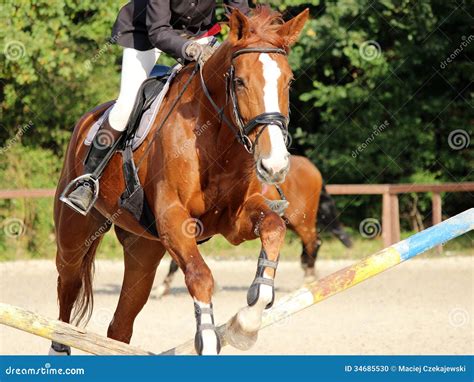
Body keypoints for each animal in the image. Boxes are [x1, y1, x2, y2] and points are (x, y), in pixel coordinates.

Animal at [52, 6, 312, 356]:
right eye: (240, 81)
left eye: (289, 81)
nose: (275, 165)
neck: (214, 140)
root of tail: (87, 119)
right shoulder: (173, 218)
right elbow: (200, 276)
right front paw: (209, 337)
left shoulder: (235, 220)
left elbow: (274, 228)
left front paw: (247, 322)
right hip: (74, 235)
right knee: (67, 287)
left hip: (144, 249)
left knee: (120, 324)